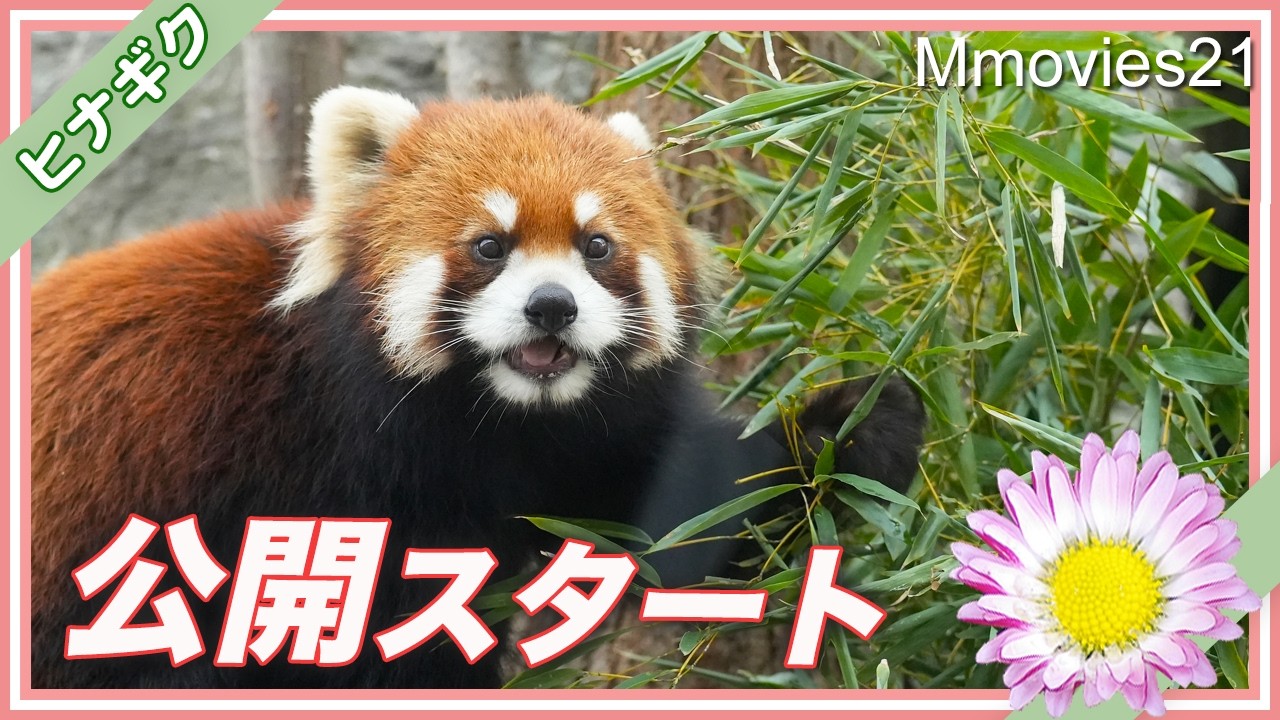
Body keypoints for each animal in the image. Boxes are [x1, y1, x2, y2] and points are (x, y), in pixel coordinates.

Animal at [30, 87, 925, 689]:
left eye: (597, 246)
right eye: (491, 246)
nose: (552, 306)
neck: (495, 422)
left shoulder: (579, 452)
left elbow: (688, 518)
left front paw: (857, 428)